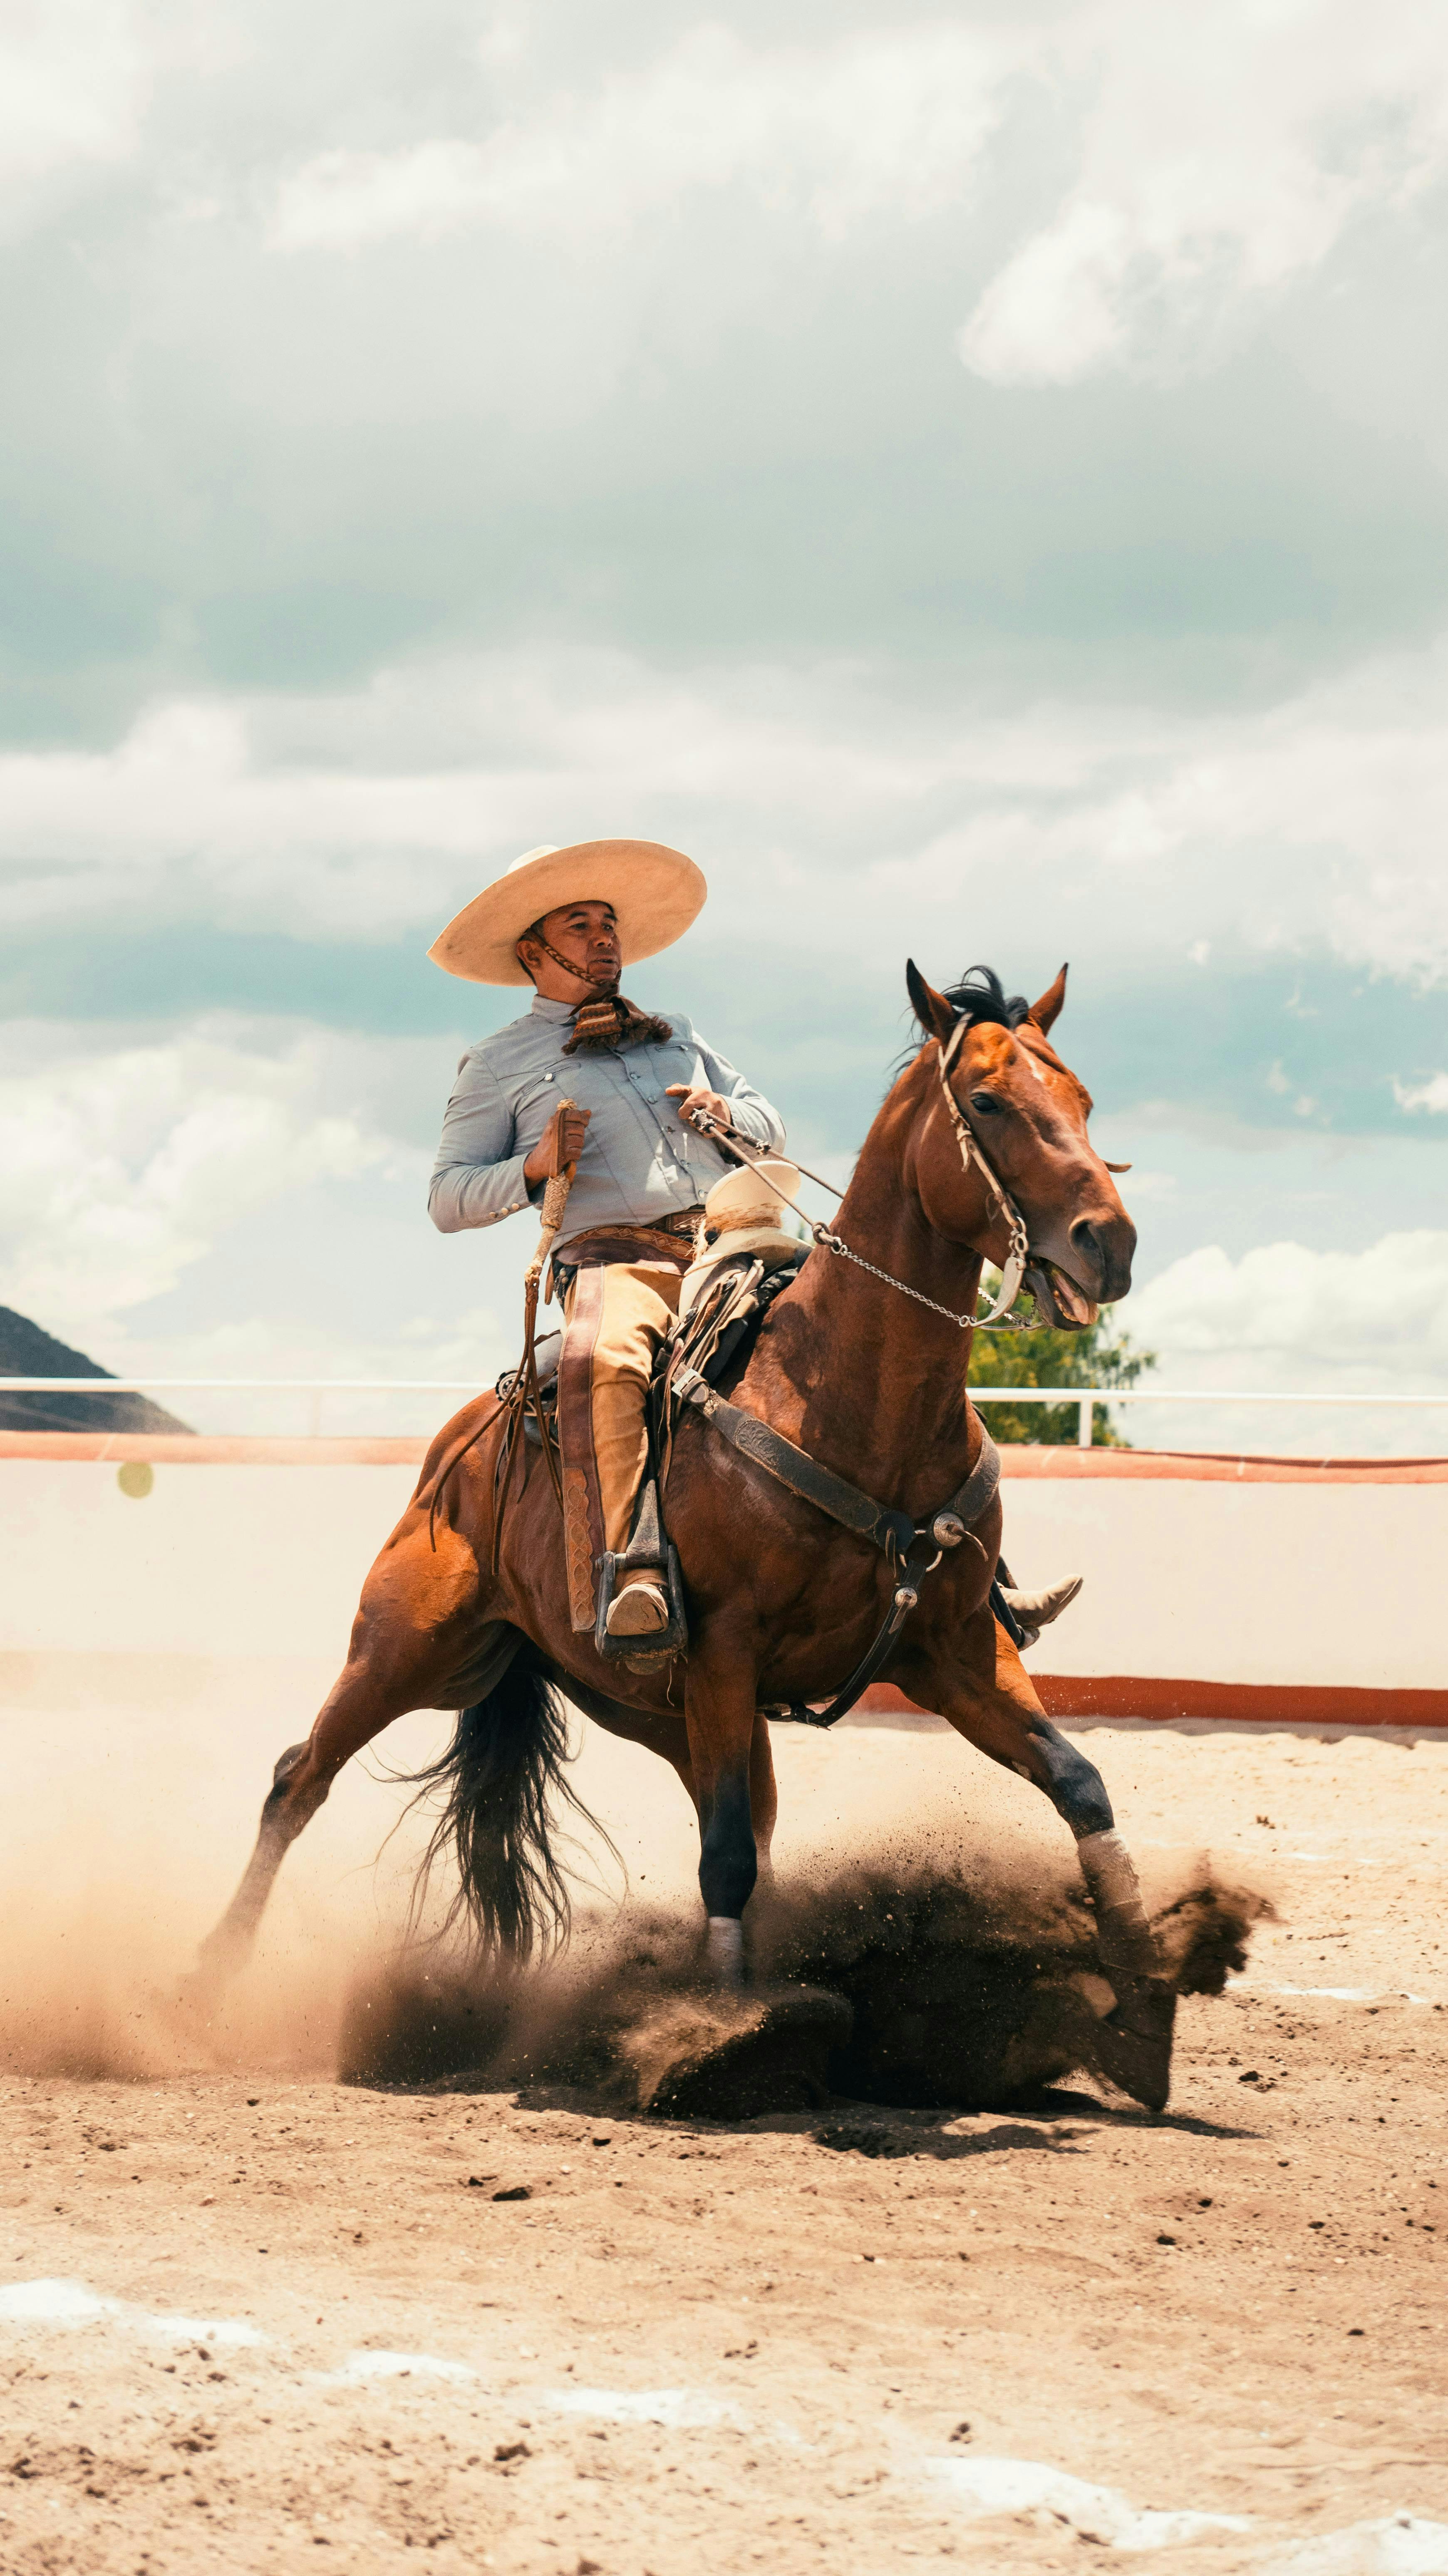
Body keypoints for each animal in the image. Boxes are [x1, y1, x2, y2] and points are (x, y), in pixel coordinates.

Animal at [199, 968, 1175, 2112]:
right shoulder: (723, 1651)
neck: (844, 1394)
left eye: (1083, 1097)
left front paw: (1146, 2016)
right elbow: (724, 1861)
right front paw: (728, 2041)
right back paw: (208, 1978)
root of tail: (468, 1444)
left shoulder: (952, 1650)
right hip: (410, 1646)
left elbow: (1077, 1781)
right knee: (297, 1776)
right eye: (986, 1101)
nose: (1109, 1243)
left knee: (747, 1821)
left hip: (655, 1708)